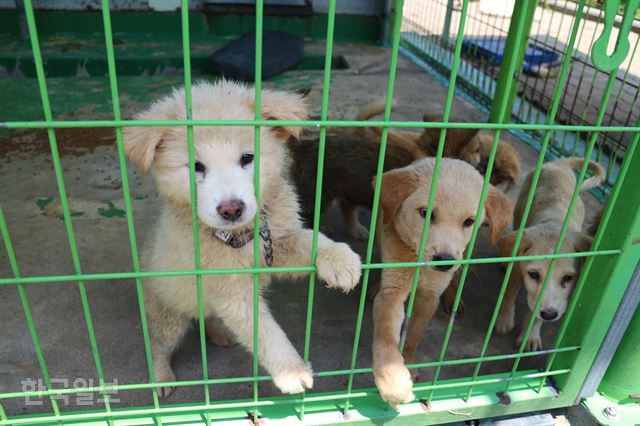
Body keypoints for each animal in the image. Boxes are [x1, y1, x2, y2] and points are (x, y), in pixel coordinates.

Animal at [123, 81, 362, 398]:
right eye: (196, 166)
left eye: (247, 158)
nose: (231, 209)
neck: (244, 234)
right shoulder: (232, 291)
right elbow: (264, 332)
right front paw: (292, 371)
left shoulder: (276, 243)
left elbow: (309, 238)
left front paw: (340, 260)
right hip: (167, 312)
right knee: (158, 344)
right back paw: (161, 378)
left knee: (206, 314)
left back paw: (219, 333)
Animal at [370, 156, 510, 406]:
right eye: (426, 213)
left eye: (469, 221)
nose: (444, 261)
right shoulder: (393, 291)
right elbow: (385, 332)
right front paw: (392, 379)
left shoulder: (429, 297)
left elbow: (414, 334)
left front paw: (408, 363)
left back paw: (454, 297)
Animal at [496, 156, 604, 350]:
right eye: (533, 274)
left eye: (568, 278)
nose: (550, 315)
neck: (555, 225)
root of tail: (559, 163)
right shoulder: (517, 271)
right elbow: (509, 295)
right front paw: (504, 320)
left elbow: (537, 315)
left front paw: (530, 335)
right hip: (520, 209)